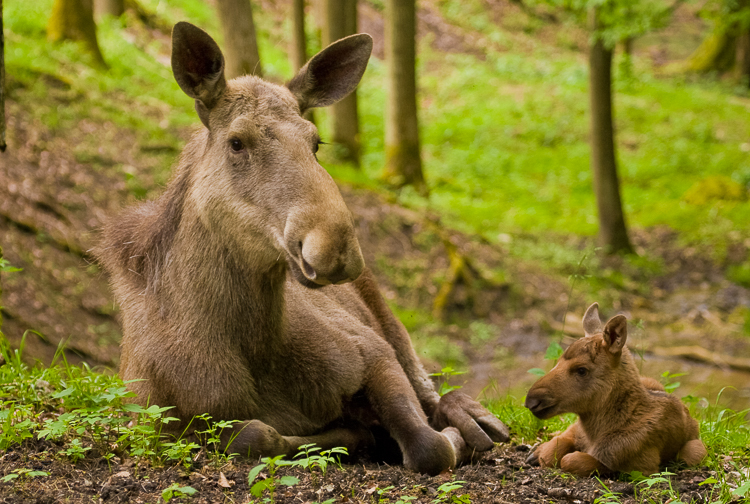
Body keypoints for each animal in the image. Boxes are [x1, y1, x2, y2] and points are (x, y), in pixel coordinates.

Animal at [96, 22, 509, 476]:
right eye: (237, 142)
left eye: (316, 141)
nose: (336, 247)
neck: (257, 351)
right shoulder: (166, 424)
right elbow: (257, 435)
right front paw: (354, 435)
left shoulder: (372, 349)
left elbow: (427, 445)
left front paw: (451, 437)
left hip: (394, 325)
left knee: (433, 390)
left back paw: (479, 421)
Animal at [524, 303, 706, 477]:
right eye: (559, 360)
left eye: (581, 370)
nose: (531, 401)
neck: (595, 433)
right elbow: (555, 450)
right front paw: (538, 453)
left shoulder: (644, 467)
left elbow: (570, 460)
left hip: (695, 450)